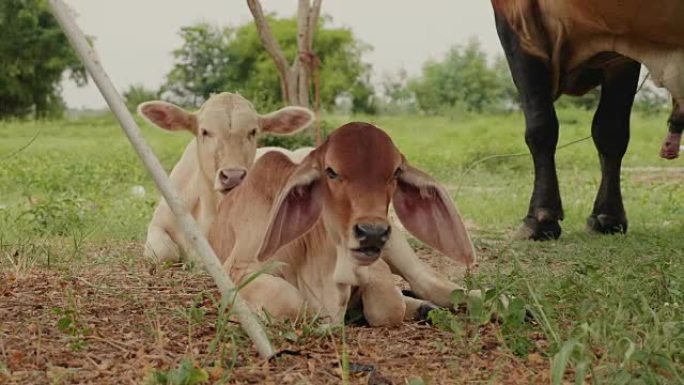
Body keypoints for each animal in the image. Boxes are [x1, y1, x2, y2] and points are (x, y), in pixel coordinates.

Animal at [492, 0, 684, 238]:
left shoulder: (515, 18)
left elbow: (541, 126)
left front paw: (540, 217)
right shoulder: (621, 52)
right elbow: (611, 131)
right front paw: (608, 216)